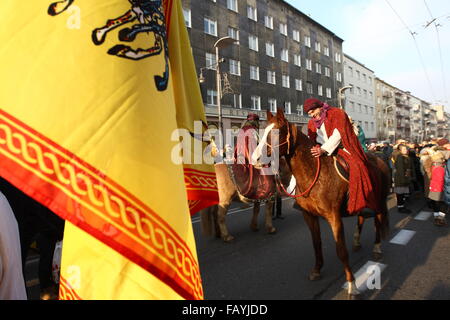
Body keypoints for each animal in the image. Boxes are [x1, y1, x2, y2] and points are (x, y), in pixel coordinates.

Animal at [264, 109, 390, 296]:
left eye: (276, 133)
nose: (256, 158)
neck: (314, 174)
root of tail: (380, 158)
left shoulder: (333, 217)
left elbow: (341, 250)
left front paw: (352, 284)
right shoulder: (309, 215)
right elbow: (316, 243)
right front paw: (317, 270)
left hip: (379, 201)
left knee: (378, 221)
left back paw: (376, 248)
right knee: (361, 218)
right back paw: (357, 241)